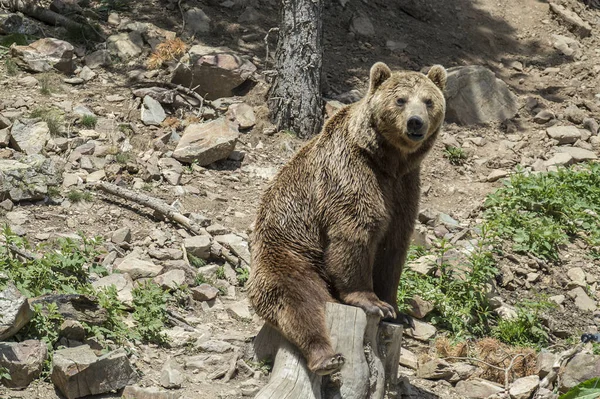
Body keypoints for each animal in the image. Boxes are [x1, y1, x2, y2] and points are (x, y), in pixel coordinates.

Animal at [246, 61, 448, 376]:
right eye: (401, 100)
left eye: (428, 101)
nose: (416, 122)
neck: (388, 160)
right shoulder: (350, 171)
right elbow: (356, 232)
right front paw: (374, 302)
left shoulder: (404, 188)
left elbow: (394, 246)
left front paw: (398, 312)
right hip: (291, 255)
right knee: (296, 301)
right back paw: (326, 358)